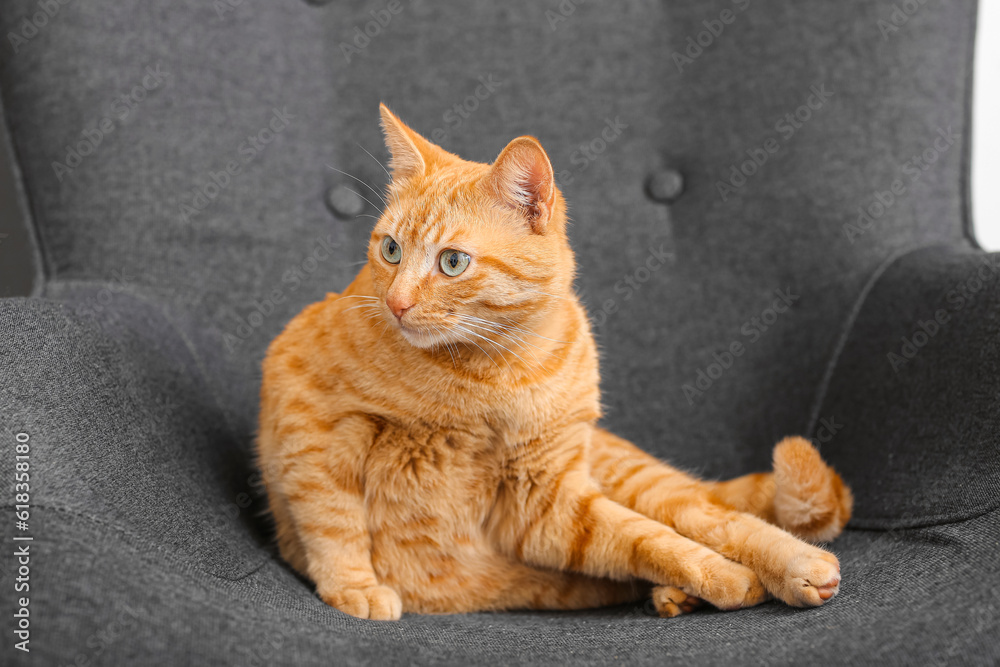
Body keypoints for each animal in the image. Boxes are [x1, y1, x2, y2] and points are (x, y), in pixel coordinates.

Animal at [258, 104, 852, 620]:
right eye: (391, 251)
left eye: (452, 262)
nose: (396, 303)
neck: (494, 371)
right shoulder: (309, 419)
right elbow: (333, 519)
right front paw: (354, 586)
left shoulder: (545, 492)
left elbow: (646, 534)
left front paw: (721, 575)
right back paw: (678, 594)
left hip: (637, 481)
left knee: (711, 516)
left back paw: (796, 565)